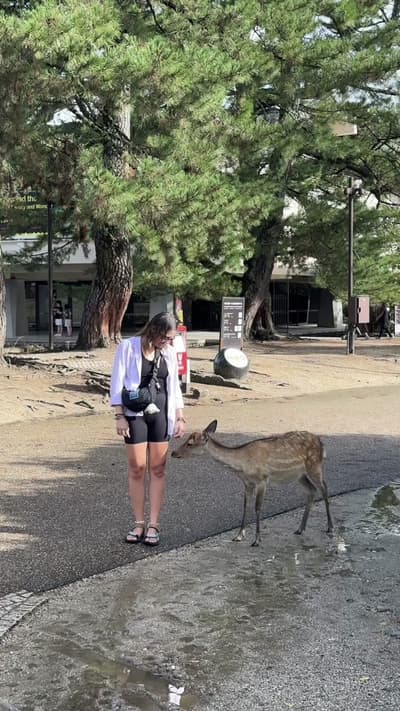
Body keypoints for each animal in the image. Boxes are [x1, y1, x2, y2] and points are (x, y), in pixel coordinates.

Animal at [171, 420, 333, 547]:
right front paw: (238, 536)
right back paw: (300, 529)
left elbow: (257, 507)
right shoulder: (247, 483)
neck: (242, 466)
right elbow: (245, 505)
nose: (173, 453)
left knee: (324, 488)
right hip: (299, 475)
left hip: (314, 466)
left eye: (190, 443)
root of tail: (321, 443)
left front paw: (256, 539)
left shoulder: (262, 479)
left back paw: (330, 528)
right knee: (312, 490)